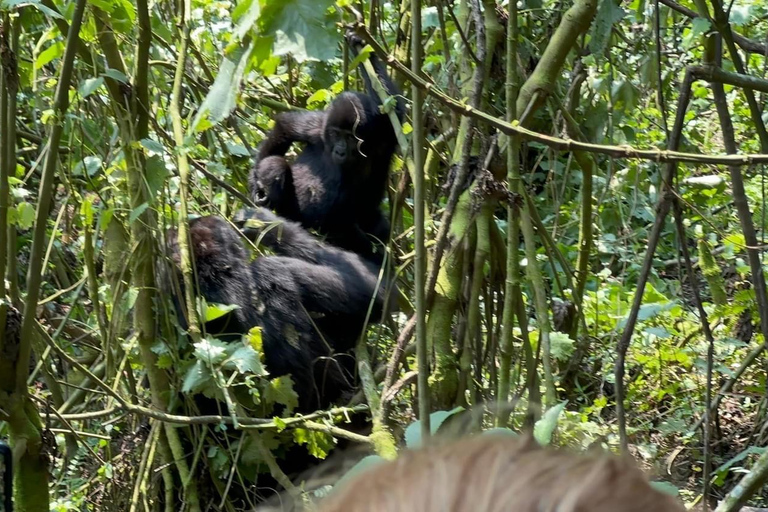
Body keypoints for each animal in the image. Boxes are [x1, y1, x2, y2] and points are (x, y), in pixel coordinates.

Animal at [249, 34, 404, 262]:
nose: (339, 150)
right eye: (335, 134)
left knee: (368, 224)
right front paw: (254, 182)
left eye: (350, 137)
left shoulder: (384, 134)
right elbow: (286, 126)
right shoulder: (318, 127)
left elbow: (396, 110)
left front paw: (362, 47)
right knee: (276, 165)